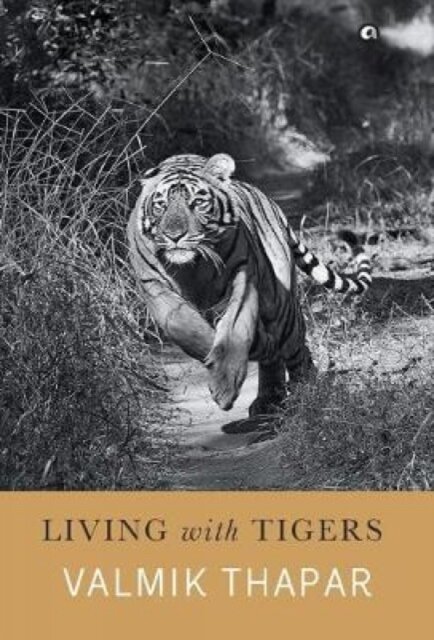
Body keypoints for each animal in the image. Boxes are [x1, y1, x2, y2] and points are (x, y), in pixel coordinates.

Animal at [127, 153, 371, 416]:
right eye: (160, 205)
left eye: (198, 203)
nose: (174, 236)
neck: (191, 268)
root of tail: (273, 205)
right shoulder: (152, 284)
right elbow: (183, 326)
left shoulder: (242, 276)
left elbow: (236, 327)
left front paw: (225, 385)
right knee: (276, 354)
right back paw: (270, 395)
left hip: (280, 307)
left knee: (296, 348)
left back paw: (306, 394)